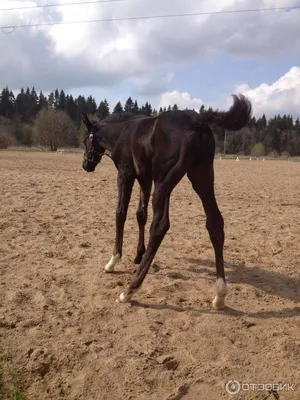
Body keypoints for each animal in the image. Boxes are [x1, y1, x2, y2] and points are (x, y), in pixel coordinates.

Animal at [81, 94, 252, 310]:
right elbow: (141, 214)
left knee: (160, 226)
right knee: (214, 222)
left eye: (86, 140)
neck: (123, 132)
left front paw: (113, 261)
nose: (86, 165)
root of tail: (197, 121)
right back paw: (220, 294)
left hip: (165, 182)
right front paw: (138, 255)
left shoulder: (126, 175)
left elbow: (121, 213)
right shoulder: (145, 179)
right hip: (200, 177)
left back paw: (130, 290)